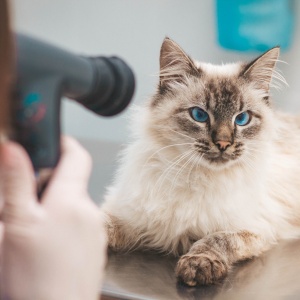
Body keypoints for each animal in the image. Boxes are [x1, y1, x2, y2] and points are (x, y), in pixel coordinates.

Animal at [102, 37, 300, 286]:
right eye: (199, 115)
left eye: (242, 119)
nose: (223, 144)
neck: (196, 176)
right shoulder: (133, 218)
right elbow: (100, 223)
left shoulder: (254, 229)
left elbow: (216, 239)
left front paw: (198, 265)